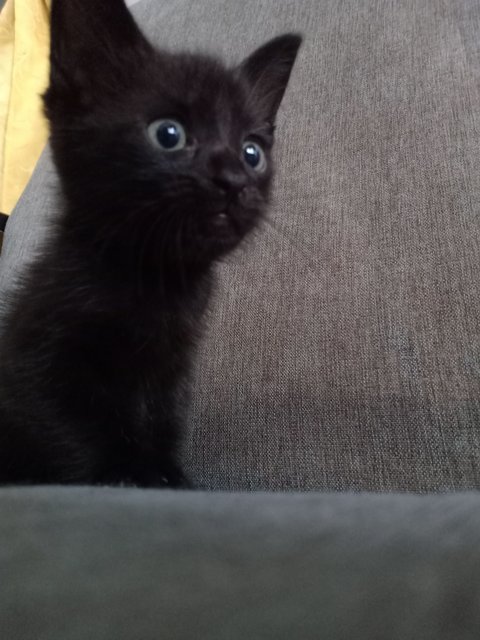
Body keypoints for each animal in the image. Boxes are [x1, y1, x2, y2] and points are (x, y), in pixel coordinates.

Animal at [0, 0, 300, 484]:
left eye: (252, 153)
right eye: (168, 133)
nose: (234, 181)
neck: (156, 282)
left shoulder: (171, 371)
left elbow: (161, 421)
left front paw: (167, 476)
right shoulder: (35, 363)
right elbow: (69, 429)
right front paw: (123, 473)